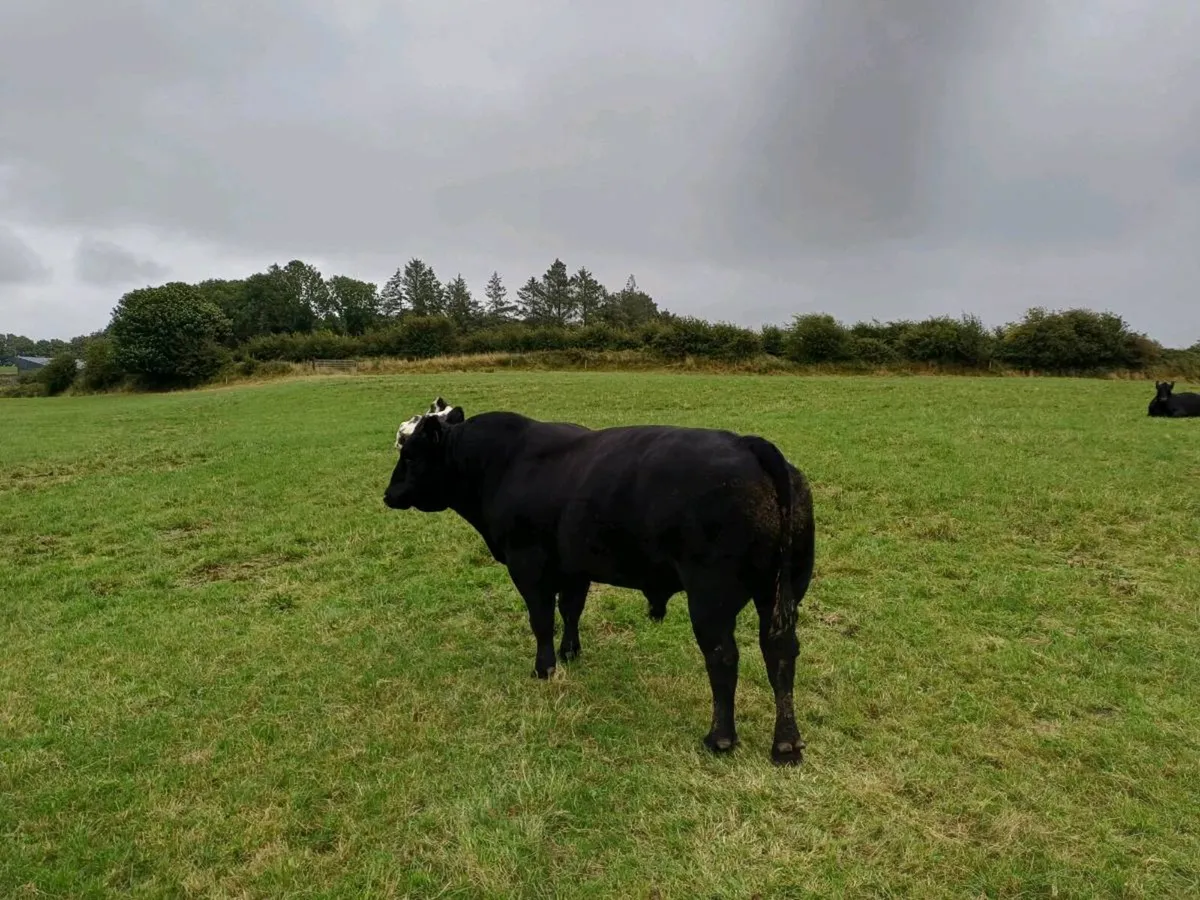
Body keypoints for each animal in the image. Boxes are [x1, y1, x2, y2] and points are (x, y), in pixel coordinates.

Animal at [383, 397, 817, 766]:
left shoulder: (528, 565)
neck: (501, 465)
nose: (388, 495)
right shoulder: (574, 568)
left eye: (410, 453)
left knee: (723, 656)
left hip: (711, 596)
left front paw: (544, 667)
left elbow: (542, 620)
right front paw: (570, 652)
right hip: (781, 591)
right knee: (780, 652)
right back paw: (786, 744)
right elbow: (571, 610)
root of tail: (747, 444)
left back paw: (720, 738)